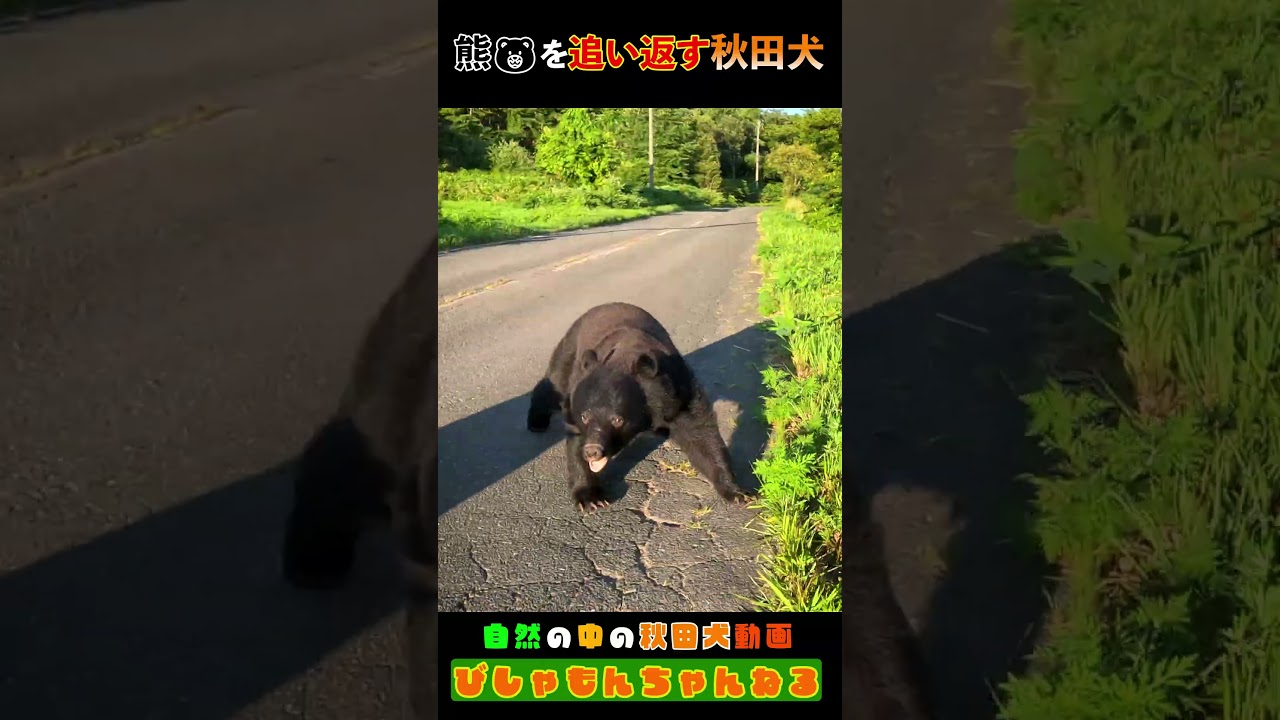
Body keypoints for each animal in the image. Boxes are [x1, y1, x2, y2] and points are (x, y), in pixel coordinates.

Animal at [527, 302, 750, 510]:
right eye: (585, 417)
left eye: (618, 419)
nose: (592, 451)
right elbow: (575, 438)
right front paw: (590, 499)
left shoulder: (679, 391)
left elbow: (701, 435)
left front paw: (738, 493)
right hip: (570, 352)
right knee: (553, 385)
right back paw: (536, 421)